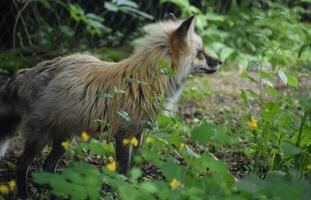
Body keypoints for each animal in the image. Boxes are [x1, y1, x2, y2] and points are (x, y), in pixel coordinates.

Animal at [0, 14, 222, 197]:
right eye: (200, 53)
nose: (220, 61)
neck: (146, 80)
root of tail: (31, 70)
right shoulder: (123, 133)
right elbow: (123, 170)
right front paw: (123, 190)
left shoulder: (139, 131)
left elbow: (136, 166)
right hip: (39, 138)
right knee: (22, 167)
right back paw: (24, 195)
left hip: (64, 139)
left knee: (47, 167)